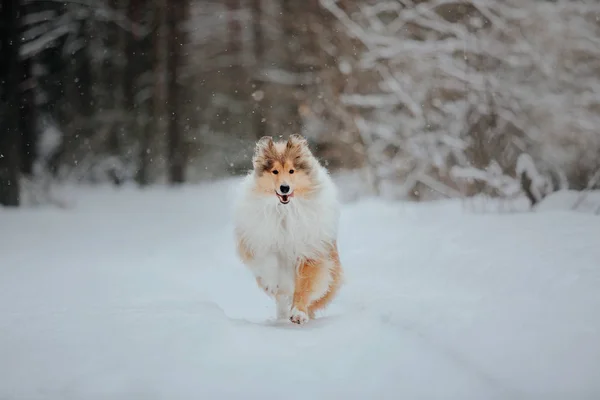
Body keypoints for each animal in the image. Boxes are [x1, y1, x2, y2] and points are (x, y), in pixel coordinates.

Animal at [233, 134, 342, 324]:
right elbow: (269, 263)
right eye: (274, 171)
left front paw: (298, 314)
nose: (284, 188)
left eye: (292, 171)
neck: (285, 210)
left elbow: (305, 283)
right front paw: (272, 284)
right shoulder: (261, 242)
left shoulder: (310, 251)